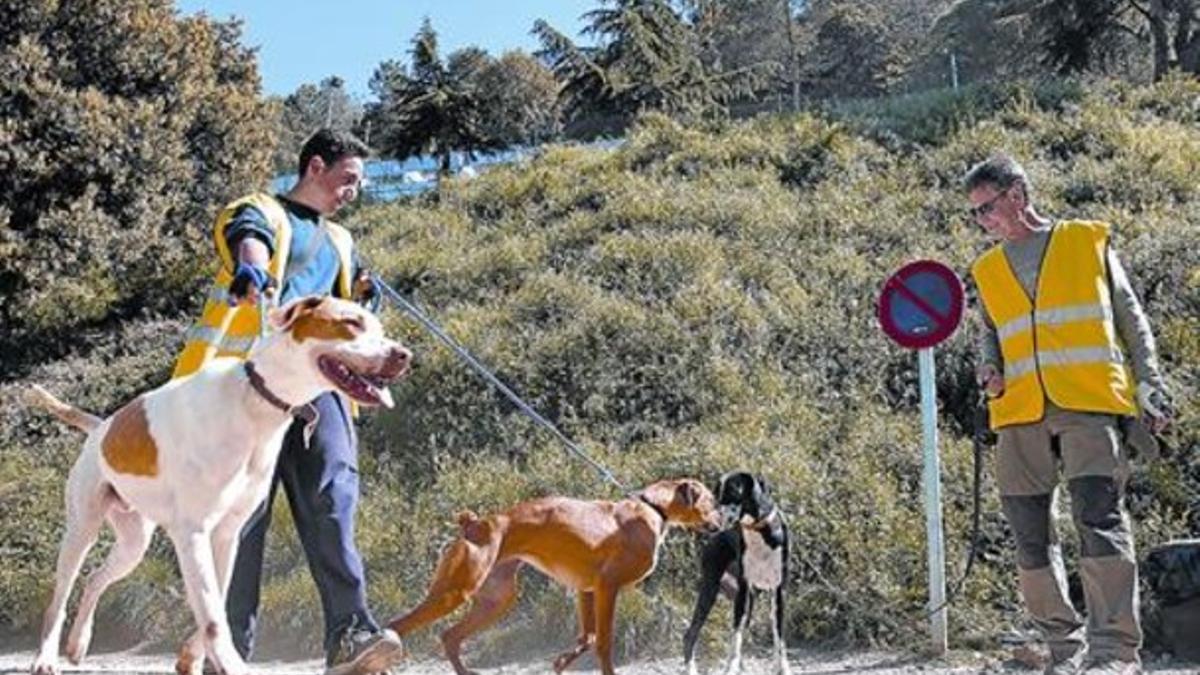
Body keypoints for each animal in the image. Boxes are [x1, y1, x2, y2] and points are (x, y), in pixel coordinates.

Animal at [22, 294, 408, 672]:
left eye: (378, 327)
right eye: (351, 323)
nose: (404, 355)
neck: (256, 401)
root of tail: (100, 427)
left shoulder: (227, 532)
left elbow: (217, 601)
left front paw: (191, 657)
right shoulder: (192, 532)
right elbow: (211, 614)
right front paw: (228, 662)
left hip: (133, 544)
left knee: (94, 580)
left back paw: (78, 643)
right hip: (81, 530)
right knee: (59, 598)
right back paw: (46, 657)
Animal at [391, 475, 720, 672]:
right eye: (712, 501)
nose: (722, 519)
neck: (653, 508)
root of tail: (474, 524)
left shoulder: (587, 590)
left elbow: (587, 637)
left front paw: (562, 662)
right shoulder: (607, 587)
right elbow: (603, 644)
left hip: (495, 602)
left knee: (449, 637)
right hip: (453, 593)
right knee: (400, 626)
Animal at [686, 470, 787, 672]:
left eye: (733, 490)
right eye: (716, 491)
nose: (710, 515)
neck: (758, 530)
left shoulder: (778, 593)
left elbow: (778, 638)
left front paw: (782, 667)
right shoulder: (743, 592)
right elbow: (736, 638)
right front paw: (731, 668)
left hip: (750, 601)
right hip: (711, 591)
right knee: (691, 634)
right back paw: (690, 669)